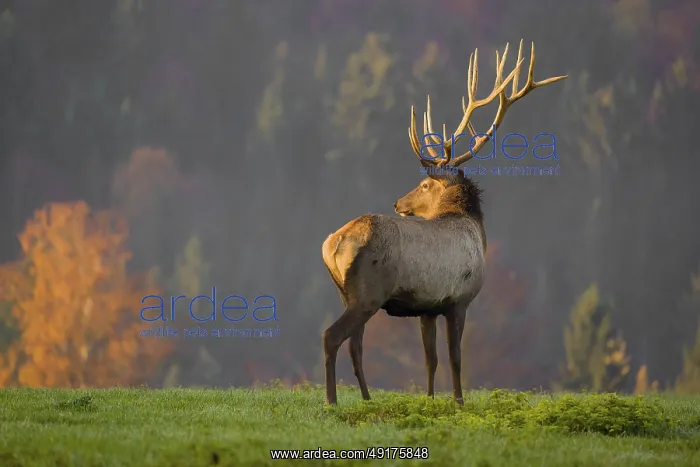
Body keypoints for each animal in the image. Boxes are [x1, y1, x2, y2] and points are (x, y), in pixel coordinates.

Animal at [321, 40, 567, 405]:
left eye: (424, 185)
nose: (398, 202)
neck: (476, 232)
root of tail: (334, 243)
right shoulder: (459, 299)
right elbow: (455, 356)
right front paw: (459, 401)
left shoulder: (427, 307)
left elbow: (430, 358)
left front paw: (430, 398)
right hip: (368, 292)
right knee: (332, 336)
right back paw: (332, 400)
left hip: (347, 294)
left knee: (356, 345)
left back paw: (366, 398)